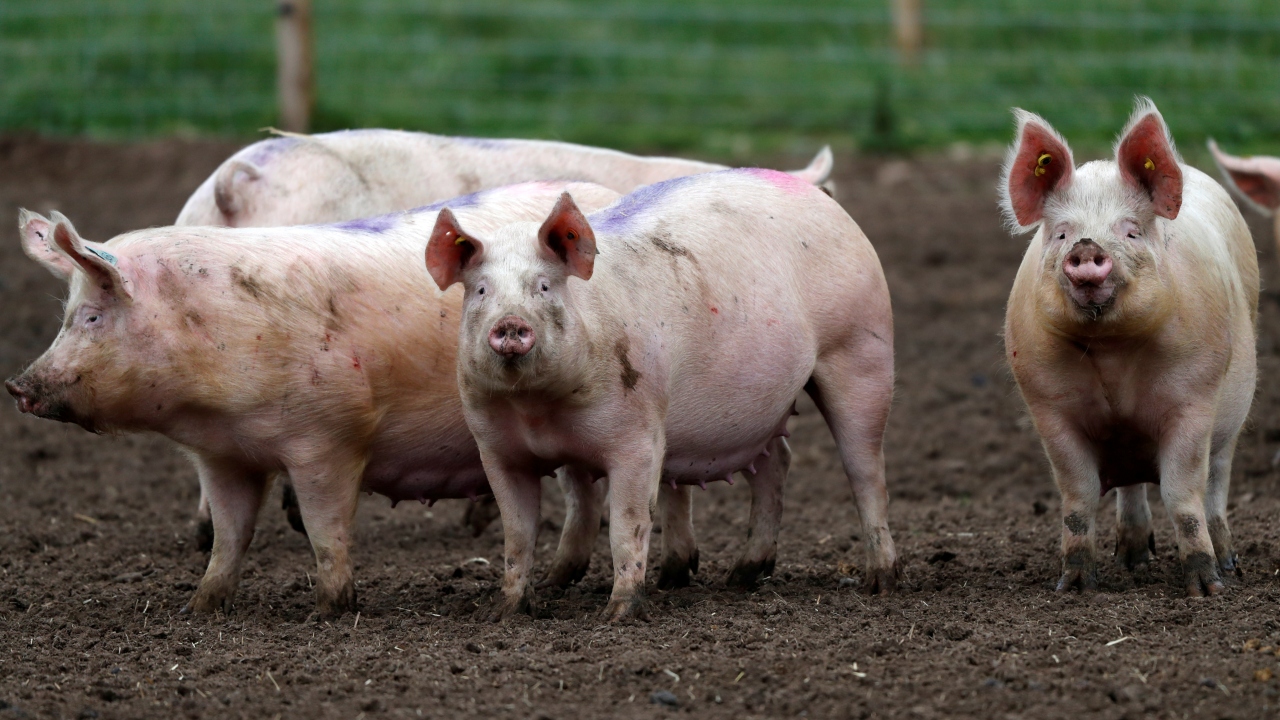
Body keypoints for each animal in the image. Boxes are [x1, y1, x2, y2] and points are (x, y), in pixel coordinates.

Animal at [5, 181, 621, 618]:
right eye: (65, 316)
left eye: (91, 316)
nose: (17, 387)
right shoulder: (223, 458)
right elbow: (229, 537)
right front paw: (197, 607)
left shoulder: (328, 437)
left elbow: (326, 528)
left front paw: (328, 610)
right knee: (581, 488)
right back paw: (559, 579)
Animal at [425, 169, 898, 621]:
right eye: (481, 290)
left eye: (543, 286)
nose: (509, 323)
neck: (536, 408)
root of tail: (825, 200)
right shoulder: (496, 450)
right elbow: (518, 533)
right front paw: (507, 612)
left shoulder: (638, 437)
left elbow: (627, 524)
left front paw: (618, 614)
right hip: (763, 410)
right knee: (776, 464)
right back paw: (740, 577)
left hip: (862, 350)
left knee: (865, 469)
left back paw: (880, 582)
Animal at [1001, 98, 1258, 596]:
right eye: (1061, 233)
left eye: (1132, 231)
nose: (1085, 246)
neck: (1112, 351)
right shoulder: (1048, 406)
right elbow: (1078, 497)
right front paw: (1073, 587)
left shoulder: (1195, 397)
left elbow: (1182, 494)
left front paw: (1206, 589)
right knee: (1131, 487)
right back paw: (1133, 560)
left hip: (1232, 420)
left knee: (1216, 486)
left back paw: (1228, 563)